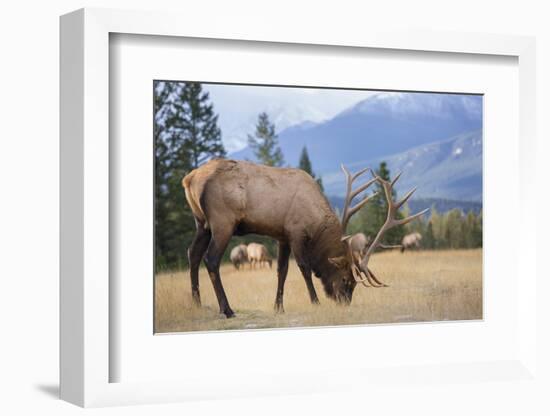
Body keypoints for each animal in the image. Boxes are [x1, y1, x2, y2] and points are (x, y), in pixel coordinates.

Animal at [183, 159, 430, 318]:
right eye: (346, 281)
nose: (344, 303)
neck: (316, 223)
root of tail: (189, 179)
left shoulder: (281, 236)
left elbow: (281, 270)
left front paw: (278, 307)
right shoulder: (296, 232)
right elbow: (304, 268)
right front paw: (316, 301)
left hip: (201, 223)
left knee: (192, 254)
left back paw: (197, 303)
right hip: (222, 221)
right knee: (210, 259)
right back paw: (227, 309)